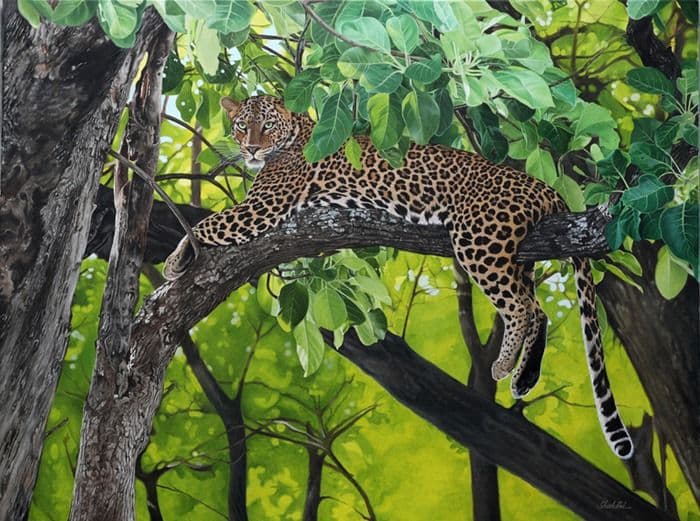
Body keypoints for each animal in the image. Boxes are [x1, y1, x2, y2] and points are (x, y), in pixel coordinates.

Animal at [164, 95, 634, 459]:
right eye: (243, 125)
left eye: (266, 126)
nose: (251, 150)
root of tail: (541, 185)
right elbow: (209, 223)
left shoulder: (261, 210)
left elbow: (207, 224)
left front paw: (174, 261)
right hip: (514, 255)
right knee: (537, 308)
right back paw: (524, 377)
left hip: (479, 239)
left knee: (520, 307)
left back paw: (502, 367)